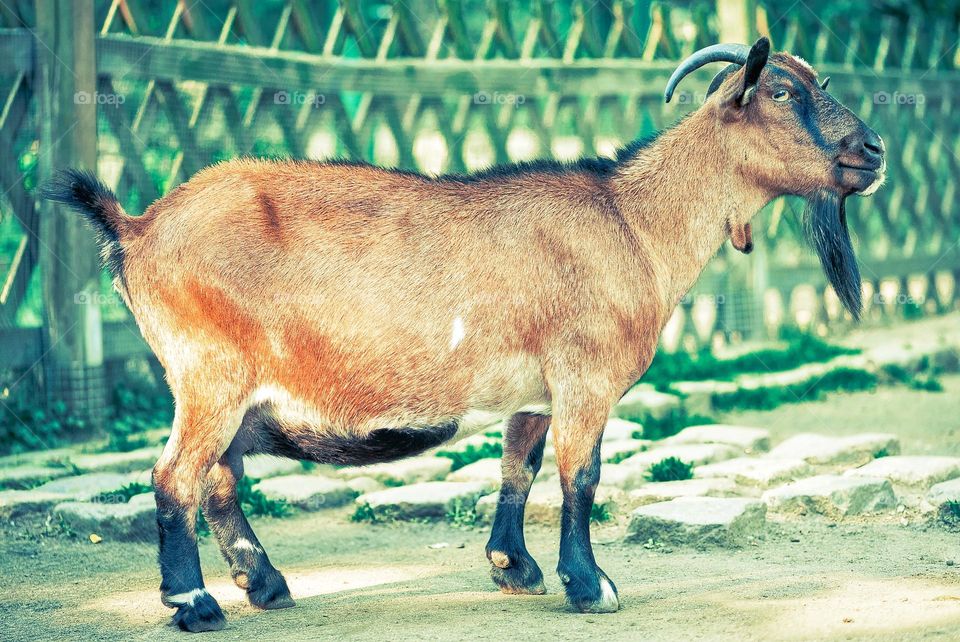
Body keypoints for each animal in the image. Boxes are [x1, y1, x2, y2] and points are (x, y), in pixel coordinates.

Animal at [43, 37, 885, 632]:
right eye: (783, 91)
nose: (873, 151)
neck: (632, 222)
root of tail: (136, 227)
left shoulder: (535, 389)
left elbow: (519, 466)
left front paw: (515, 569)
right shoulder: (585, 377)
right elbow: (581, 476)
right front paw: (592, 586)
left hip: (217, 386)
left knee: (217, 479)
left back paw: (267, 584)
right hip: (208, 372)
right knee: (175, 478)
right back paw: (194, 603)